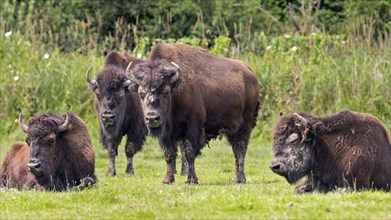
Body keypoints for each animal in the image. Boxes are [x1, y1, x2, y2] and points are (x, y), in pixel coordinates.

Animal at [127, 43, 260, 184]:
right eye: (141, 93)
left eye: (166, 92)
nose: (152, 118)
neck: (177, 90)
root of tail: (251, 74)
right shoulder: (166, 135)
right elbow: (169, 155)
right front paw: (167, 180)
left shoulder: (192, 128)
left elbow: (189, 154)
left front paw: (191, 180)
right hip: (232, 130)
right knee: (236, 150)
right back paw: (236, 178)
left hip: (245, 125)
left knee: (241, 149)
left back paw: (240, 179)